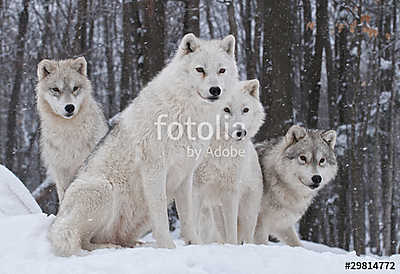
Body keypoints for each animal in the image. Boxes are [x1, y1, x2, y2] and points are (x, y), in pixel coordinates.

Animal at [48, 33, 239, 256]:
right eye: (200, 69)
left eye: (221, 70)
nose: (215, 90)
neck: (186, 114)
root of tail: (57, 221)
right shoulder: (154, 169)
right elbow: (161, 216)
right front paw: (168, 248)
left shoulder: (185, 175)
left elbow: (188, 217)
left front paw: (195, 244)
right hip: (103, 189)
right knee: (83, 241)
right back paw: (109, 247)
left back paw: (136, 245)